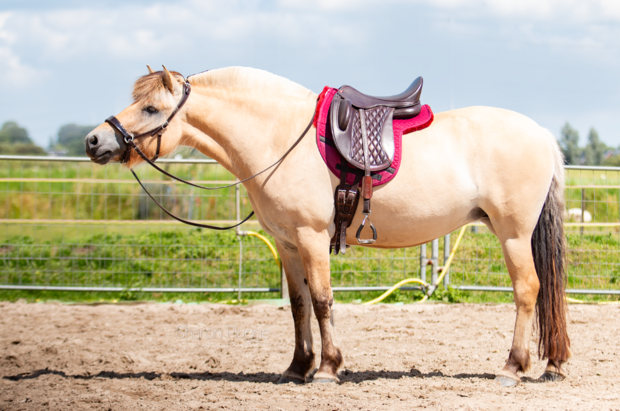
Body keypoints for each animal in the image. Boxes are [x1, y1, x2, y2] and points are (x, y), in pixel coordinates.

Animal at [83, 64, 572, 386]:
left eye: (150, 108)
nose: (94, 140)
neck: (278, 136)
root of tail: (542, 135)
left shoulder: (311, 236)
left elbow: (322, 300)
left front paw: (328, 368)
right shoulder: (287, 244)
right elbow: (299, 306)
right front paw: (298, 366)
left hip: (513, 234)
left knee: (528, 290)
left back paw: (512, 367)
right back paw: (552, 364)